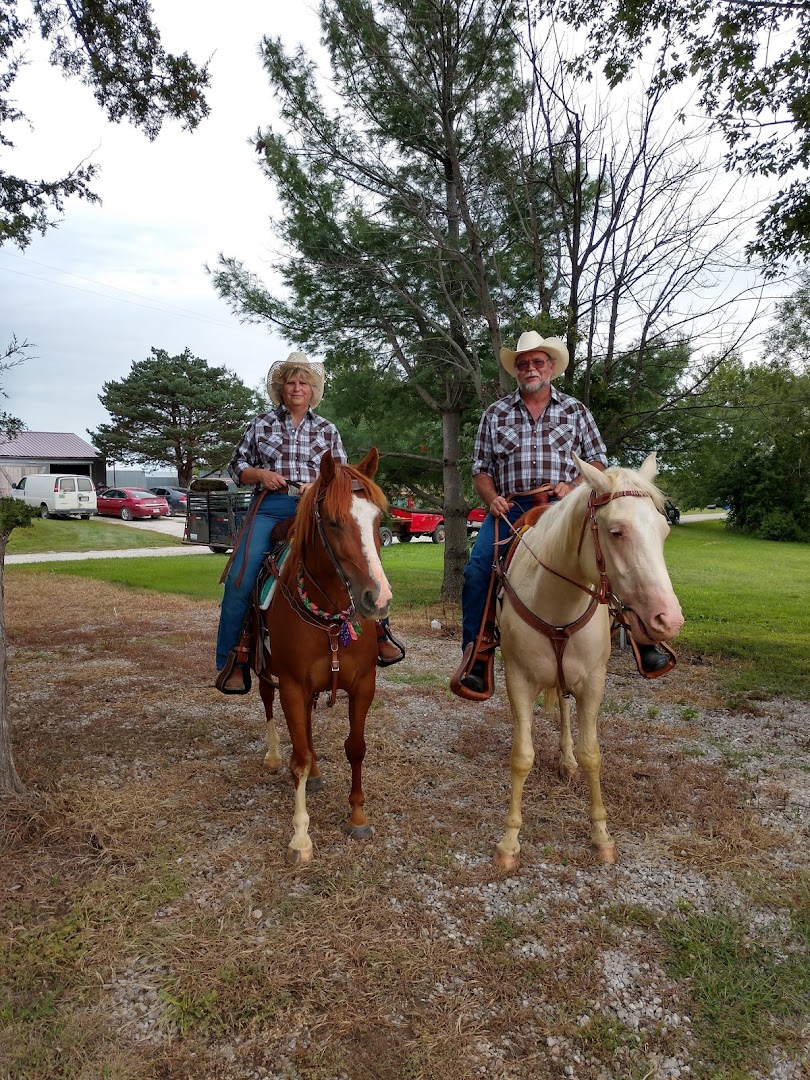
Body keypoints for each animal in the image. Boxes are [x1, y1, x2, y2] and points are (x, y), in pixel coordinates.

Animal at [257, 444, 390, 859]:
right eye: (332, 522)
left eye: (378, 519)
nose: (378, 599)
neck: (329, 619)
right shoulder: (292, 685)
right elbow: (298, 757)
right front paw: (300, 836)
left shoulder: (363, 685)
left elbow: (356, 748)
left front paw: (358, 816)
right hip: (263, 669)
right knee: (268, 702)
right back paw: (272, 757)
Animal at [494, 451, 686, 864]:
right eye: (616, 531)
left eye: (663, 531)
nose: (668, 619)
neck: (555, 598)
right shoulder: (518, 679)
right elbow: (522, 756)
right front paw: (509, 841)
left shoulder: (593, 681)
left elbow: (592, 754)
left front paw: (601, 835)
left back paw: (566, 762)